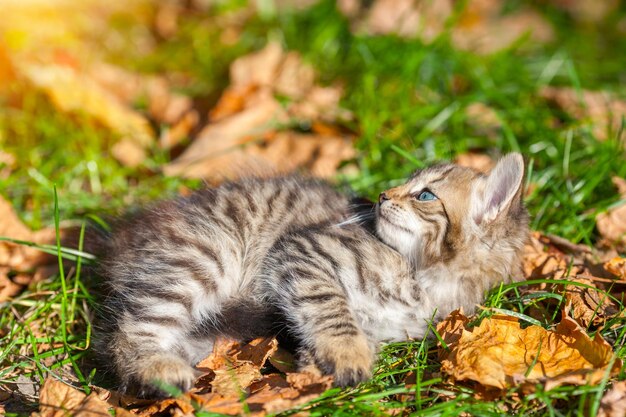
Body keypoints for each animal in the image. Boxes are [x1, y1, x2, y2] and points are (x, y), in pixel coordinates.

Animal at [96, 152, 528, 394]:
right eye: (406, 184)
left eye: (424, 194)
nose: (381, 197)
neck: (425, 275)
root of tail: (123, 239)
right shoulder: (304, 251)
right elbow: (332, 308)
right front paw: (345, 351)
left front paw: (316, 365)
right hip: (206, 256)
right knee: (129, 332)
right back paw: (155, 368)